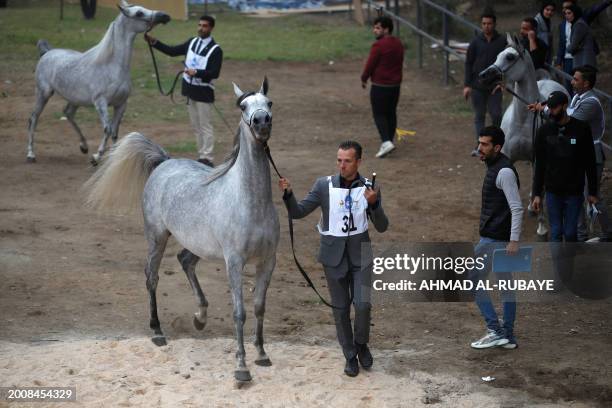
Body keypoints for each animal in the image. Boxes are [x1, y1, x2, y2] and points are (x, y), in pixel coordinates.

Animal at [26, 1, 170, 164]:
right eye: (139, 13)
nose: (165, 16)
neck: (112, 66)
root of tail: (46, 53)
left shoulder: (121, 104)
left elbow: (114, 132)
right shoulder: (101, 103)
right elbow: (107, 129)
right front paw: (96, 157)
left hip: (74, 100)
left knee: (68, 114)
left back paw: (84, 146)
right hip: (43, 94)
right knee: (33, 119)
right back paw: (31, 154)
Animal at [84, 78, 280, 384]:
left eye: (269, 102)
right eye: (244, 106)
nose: (261, 122)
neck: (251, 202)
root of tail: (164, 161)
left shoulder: (268, 261)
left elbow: (259, 307)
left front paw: (261, 355)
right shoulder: (234, 262)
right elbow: (240, 312)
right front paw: (241, 367)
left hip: (197, 245)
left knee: (185, 261)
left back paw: (200, 318)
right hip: (157, 237)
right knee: (151, 277)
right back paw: (157, 331)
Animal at [478, 35, 568, 239]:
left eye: (510, 57)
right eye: (498, 55)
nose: (483, 76)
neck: (522, 121)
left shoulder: (539, 159)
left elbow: (540, 190)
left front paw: (542, 227)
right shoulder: (508, 157)